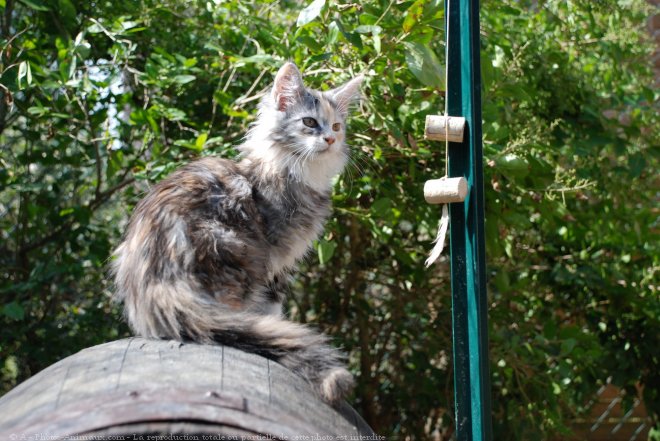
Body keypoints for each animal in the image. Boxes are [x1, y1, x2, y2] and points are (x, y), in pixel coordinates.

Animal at [111, 61, 364, 402]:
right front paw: (268, 324)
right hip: (234, 248)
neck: (294, 172)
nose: (330, 140)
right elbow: (273, 306)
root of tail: (159, 279)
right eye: (310, 122)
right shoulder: (276, 258)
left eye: (337, 126)